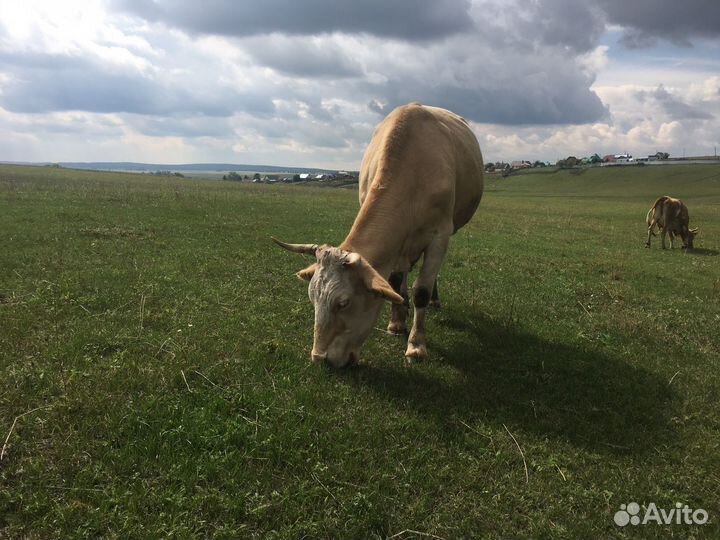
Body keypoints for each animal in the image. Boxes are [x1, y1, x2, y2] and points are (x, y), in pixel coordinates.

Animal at [273, 103, 484, 367]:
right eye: (312, 298)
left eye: (344, 302)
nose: (320, 359)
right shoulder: (395, 244)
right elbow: (393, 282)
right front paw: (396, 322)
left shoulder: (440, 234)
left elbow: (421, 290)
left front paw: (416, 345)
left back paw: (434, 300)